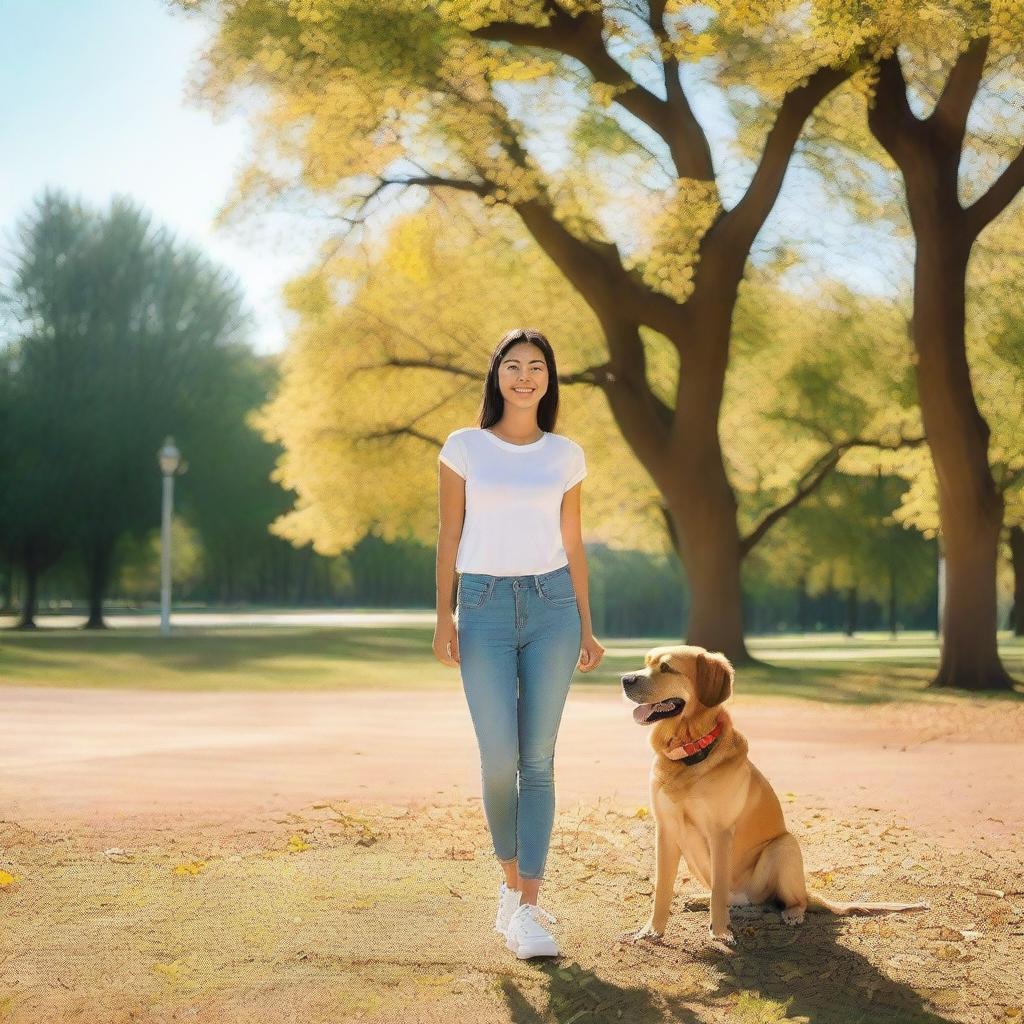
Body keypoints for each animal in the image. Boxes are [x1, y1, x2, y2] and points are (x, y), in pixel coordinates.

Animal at [614, 643, 929, 946]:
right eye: (646, 663)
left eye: (667, 668)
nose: (625, 679)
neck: (689, 755)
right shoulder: (666, 830)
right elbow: (662, 888)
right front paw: (652, 930)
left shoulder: (720, 832)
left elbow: (718, 889)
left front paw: (720, 933)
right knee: (732, 897)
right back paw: (702, 900)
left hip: (784, 846)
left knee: (782, 899)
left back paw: (791, 914)